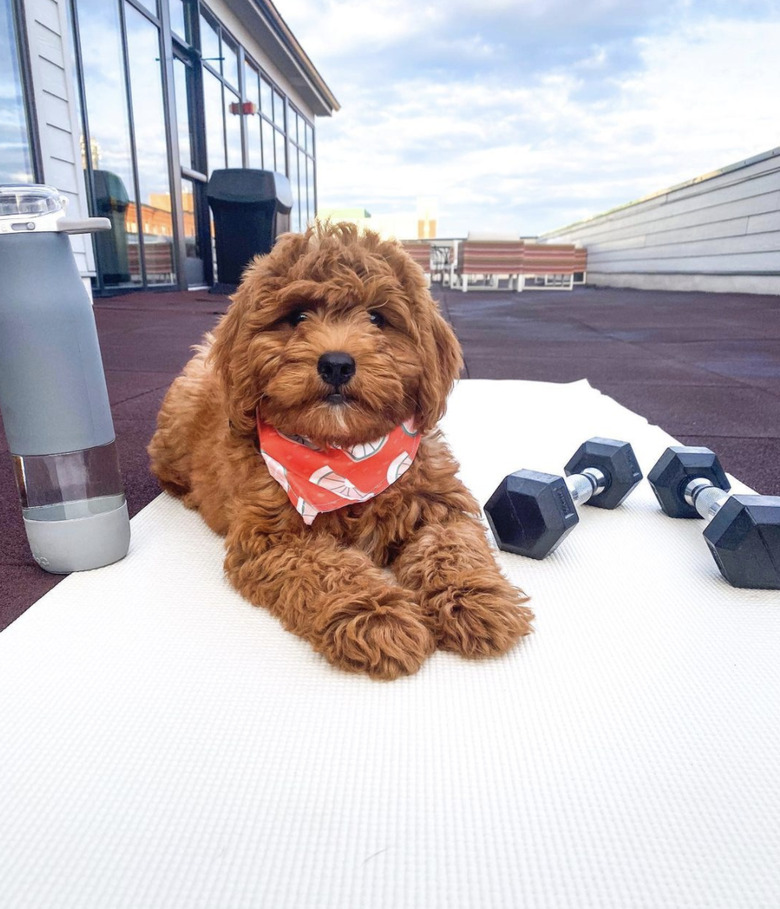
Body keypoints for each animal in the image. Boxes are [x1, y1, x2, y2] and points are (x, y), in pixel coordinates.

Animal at [148, 223, 532, 676]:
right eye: (297, 316)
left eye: (377, 318)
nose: (336, 364)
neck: (346, 452)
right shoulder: (272, 539)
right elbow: (330, 569)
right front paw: (379, 617)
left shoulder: (439, 503)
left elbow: (452, 546)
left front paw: (477, 599)